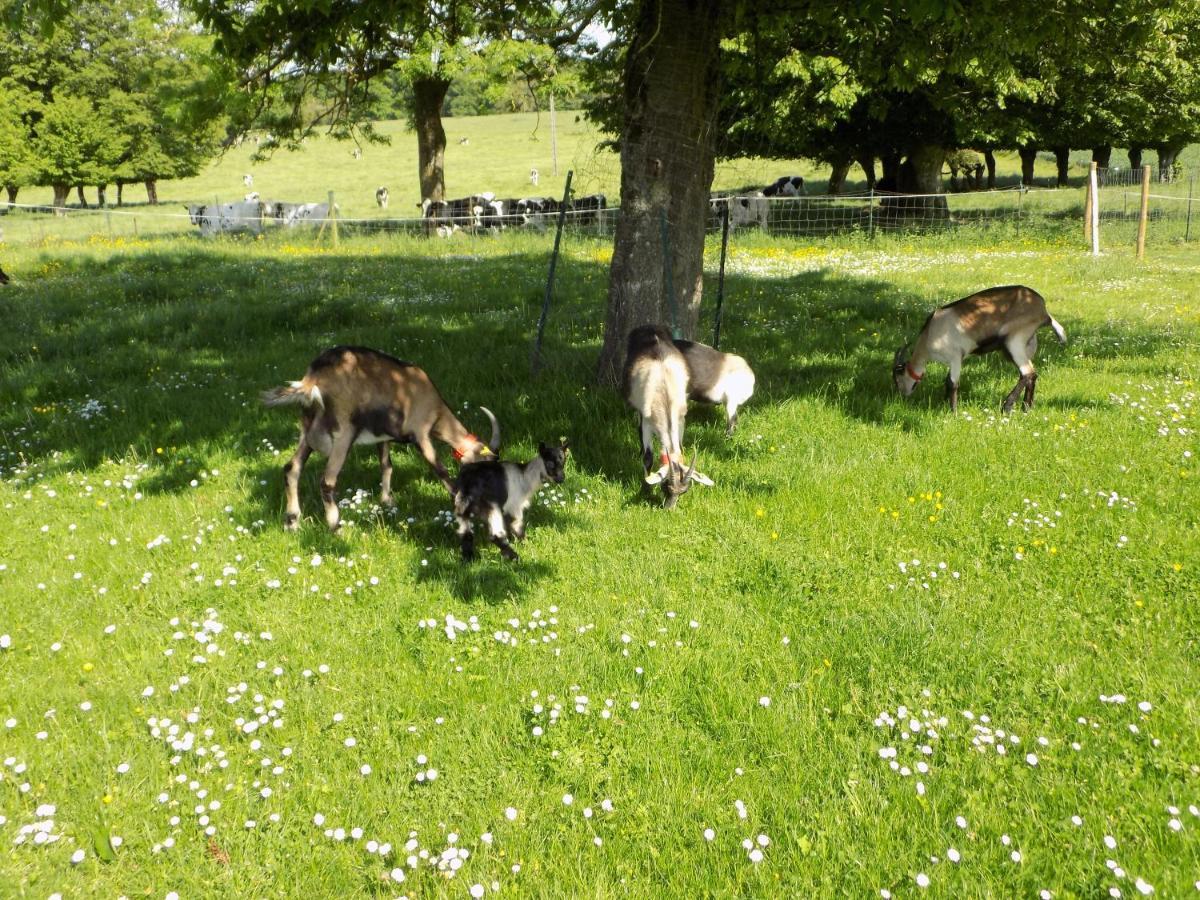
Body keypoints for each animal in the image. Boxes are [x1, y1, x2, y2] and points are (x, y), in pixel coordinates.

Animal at [262, 343, 501, 528]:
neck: (435, 407)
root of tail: (313, 379)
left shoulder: (382, 437)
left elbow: (387, 466)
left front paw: (387, 500)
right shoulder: (421, 434)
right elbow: (439, 469)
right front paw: (457, 501)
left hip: (307, 432)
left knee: (292, 468)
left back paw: (292, 522)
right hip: (343, 434)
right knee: (327, 481)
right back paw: (335, 527)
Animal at [624, 326, 715, 511]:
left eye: (684, 492)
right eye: (665, 486)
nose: (669, 510)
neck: (664, 391)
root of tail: (649, 328)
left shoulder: (680, 418)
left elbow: (680, 445)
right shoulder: (647, 421)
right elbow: (648, 457)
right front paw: (646, 489)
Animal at [892, 285, 1070, 415]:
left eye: (898, 378)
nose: (903, 396)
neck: (929, 334)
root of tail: (1044, 311)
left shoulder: (955, 357)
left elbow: (952, 383)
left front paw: (953, 412)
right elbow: (947, 381)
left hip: (1015, 340)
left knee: (1027, 372)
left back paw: (1007, 407)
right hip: (1025, 345)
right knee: (1031, 374)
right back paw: (1026, 408)